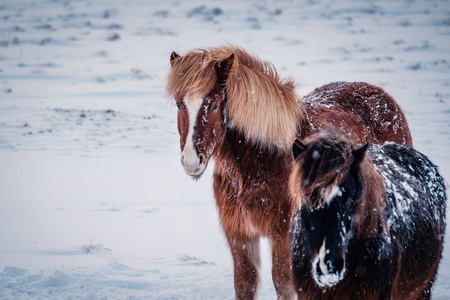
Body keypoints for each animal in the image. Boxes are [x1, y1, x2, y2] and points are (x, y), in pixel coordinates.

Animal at [165, 45, 412, 298]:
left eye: (214, 104)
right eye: (179, 104)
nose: (191, 161)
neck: (260, 161)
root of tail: (384, 99)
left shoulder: (283, 235)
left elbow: (284, 283)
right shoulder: (239, 235)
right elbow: (245, 283)